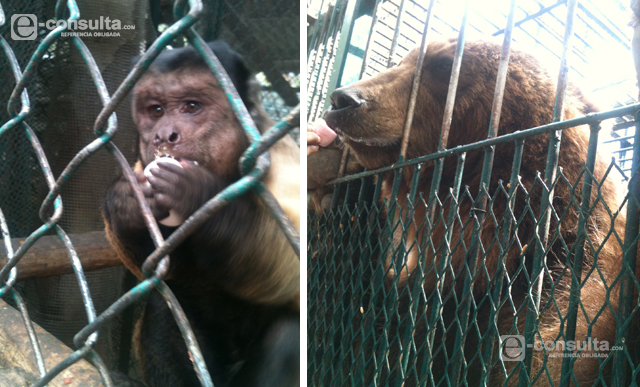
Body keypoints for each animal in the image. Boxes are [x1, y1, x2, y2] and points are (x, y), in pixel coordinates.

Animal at [102, 41, 300, 386]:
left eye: (191, 107)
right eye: (156, 111)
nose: (163, 135)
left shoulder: (280, 160)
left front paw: (196, 193)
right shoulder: (140, 165)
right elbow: (159, 270)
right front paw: (126, 204)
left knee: (289, 335)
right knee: (164, 304)